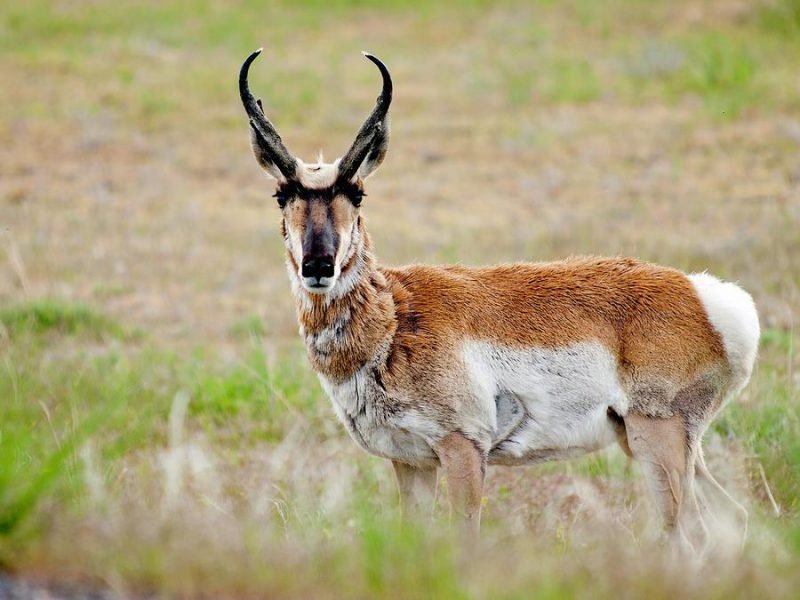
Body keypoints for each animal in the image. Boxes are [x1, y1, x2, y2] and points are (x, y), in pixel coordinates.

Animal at [236, 50, 756, 548]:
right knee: (731, 517)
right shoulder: (411, 463)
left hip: (657, 440)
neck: (396, 318)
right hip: (667, 446)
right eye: (282, 193)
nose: (318, 266)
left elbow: (465, 537)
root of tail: (704, 295)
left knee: (688, 535)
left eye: (357, 193)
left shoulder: (463, 449)